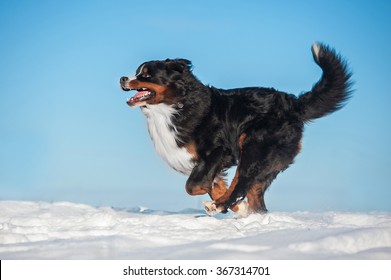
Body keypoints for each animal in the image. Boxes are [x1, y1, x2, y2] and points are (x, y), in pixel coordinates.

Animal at [118, 42, 352, 217]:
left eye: (146, 74)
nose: (122, 78)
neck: (174, 107)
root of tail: (293, 104)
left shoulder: (218, 151)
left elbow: (193, 185)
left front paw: (222, 203)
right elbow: (213, 184)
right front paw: (234, 206)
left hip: (254, 146)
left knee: (243, 181)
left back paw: (220, 205)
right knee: (253, 193)